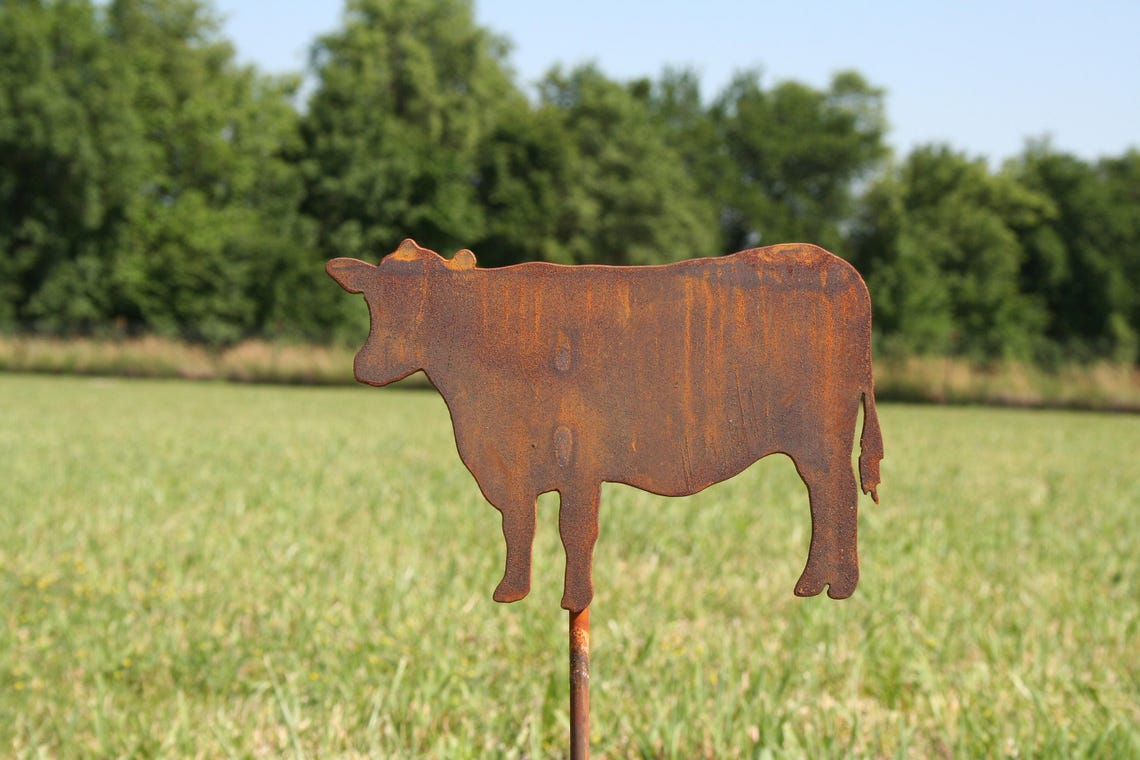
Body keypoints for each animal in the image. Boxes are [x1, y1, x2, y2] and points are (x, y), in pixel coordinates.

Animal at [327, 239, 883, 613]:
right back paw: (818, 583)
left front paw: (575, 601)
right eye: (373, 297)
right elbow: (518, 525)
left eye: (424, 300)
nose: (366, 367)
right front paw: (512, 592)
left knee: (837, 498)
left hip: (821, 441)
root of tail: (839, 267)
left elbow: (574, 531)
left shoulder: (577, 459)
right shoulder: (513, 464)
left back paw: (836, 585)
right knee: (826, 499)